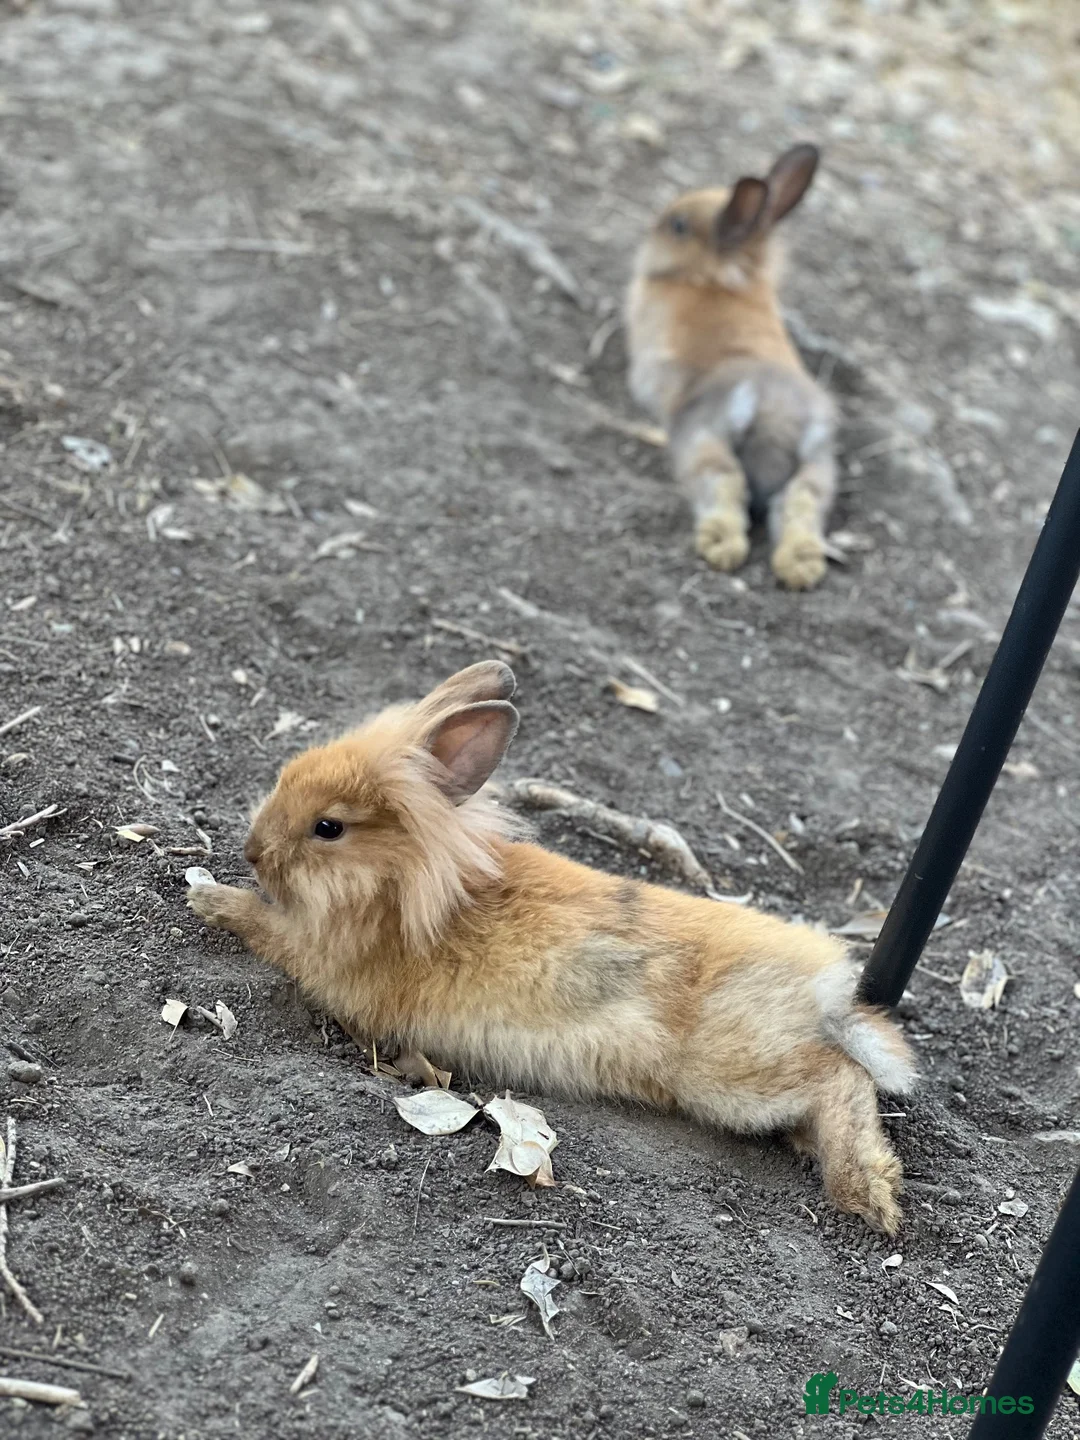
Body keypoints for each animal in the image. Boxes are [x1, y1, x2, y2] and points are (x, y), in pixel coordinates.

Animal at [187, 661, 915, 1233]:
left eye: (329, 828)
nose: (253, 852)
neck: (401, 885)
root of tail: (824, 990)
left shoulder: (318, 957)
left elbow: (266, 928)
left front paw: (210, 899)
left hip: (734, 1076)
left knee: (841, 1077)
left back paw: (866, 1194)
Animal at [625, 143, 837, 589]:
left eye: (679, 225)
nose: (652, 228)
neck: (714, 279)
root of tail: (777, 416)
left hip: (703, 436)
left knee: (725, 482)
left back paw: (720, 546)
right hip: (817, 466)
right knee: (800, 505)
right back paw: (800, 568)